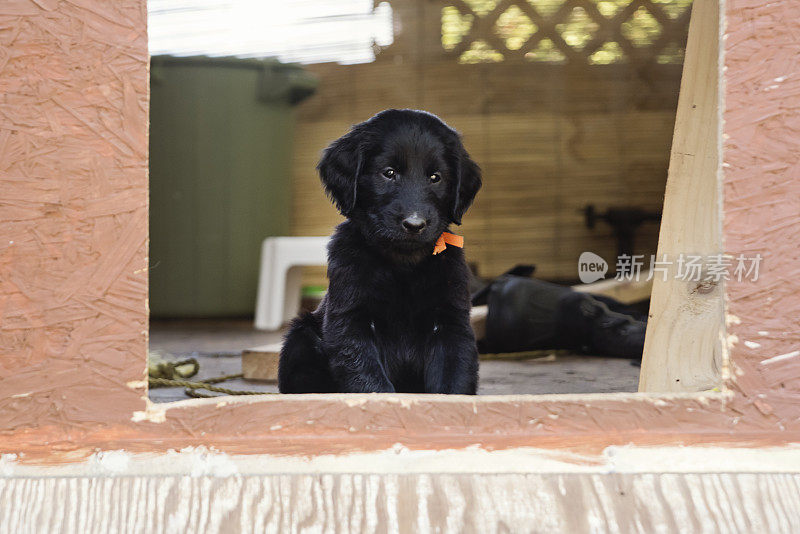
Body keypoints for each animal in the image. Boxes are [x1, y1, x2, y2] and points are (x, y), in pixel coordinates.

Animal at [278, 109, 482, 396]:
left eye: (435, 177)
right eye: (389, 173)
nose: (415, 224)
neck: (403, 265)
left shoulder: (451, 321)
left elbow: (453, 378)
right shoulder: (351, 320)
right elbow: (368, 378)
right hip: (300, 336)